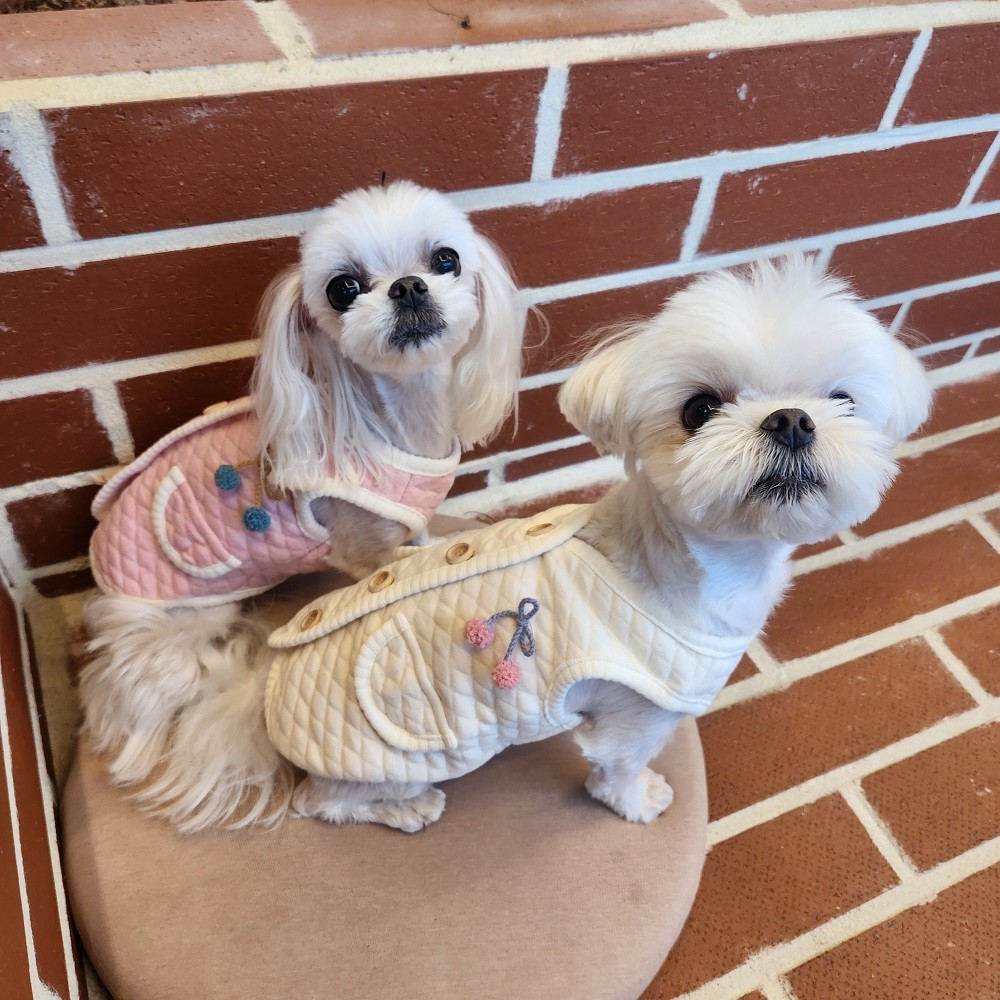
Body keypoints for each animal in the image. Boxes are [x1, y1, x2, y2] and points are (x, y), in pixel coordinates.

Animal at [79, 180, 525, 830]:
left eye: (446, 259)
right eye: (344, 289)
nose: (408, 286)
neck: (401, 424)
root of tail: (105, 577)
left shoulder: (405, 520)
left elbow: (418, 539)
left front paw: (435, 547)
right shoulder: (364, 550)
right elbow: (383, 571)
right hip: (189, 611)